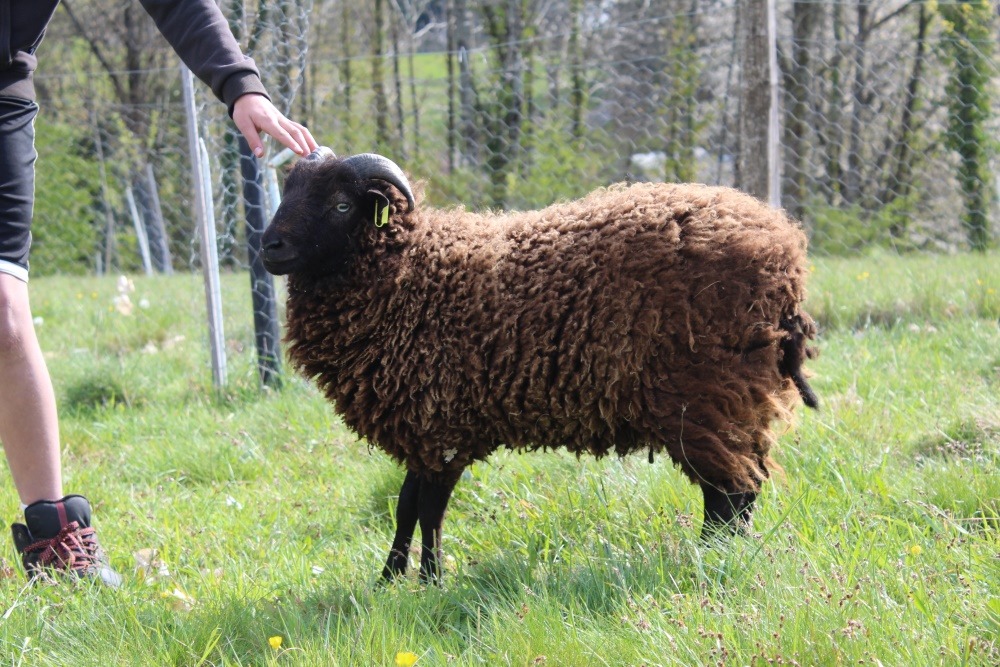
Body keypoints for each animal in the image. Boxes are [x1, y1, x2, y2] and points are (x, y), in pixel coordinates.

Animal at [262, 150, 816, 584]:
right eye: (288, 192)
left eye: (340, 204)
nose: (270, 248)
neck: (411, 272)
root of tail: (785, 255)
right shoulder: (422, 428)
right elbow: (404, 507)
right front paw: (389, 581)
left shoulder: (443, 424)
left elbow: (429, 511)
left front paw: (431, 582)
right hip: (731, 400)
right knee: (740, 487)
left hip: (707, 396)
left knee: (730, 494)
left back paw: (710, 559)